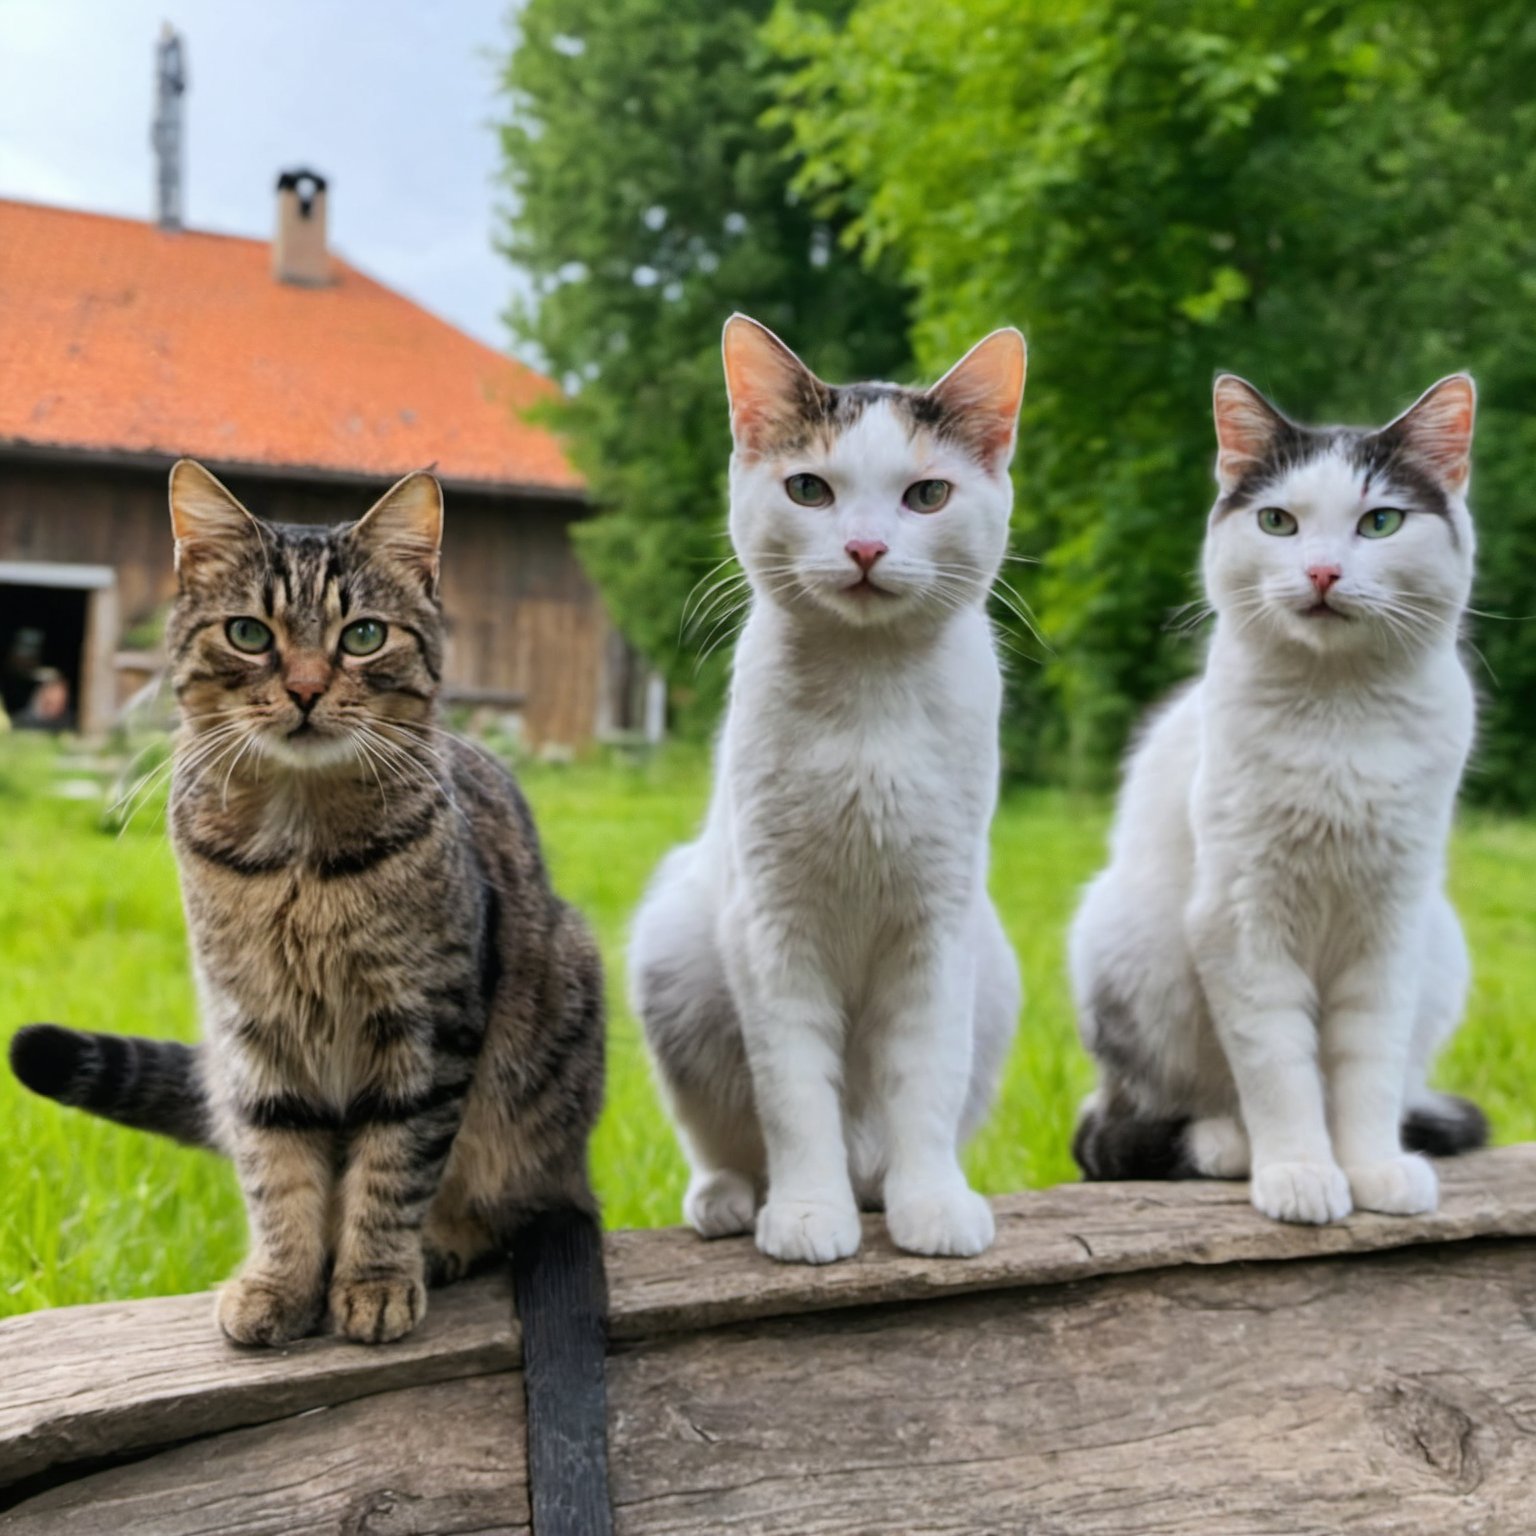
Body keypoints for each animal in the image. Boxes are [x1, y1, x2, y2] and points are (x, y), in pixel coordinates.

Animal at [10, 457, 605, 1345]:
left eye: (362, 636)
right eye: (249, 634)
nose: (304, 689)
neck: (298, 856)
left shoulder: (424, 1028)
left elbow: (392, 1169)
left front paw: (375, 1280)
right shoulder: (254, 1033)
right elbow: (278, 1173)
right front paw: (280, 1284)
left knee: (515, 1197)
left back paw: (444, 1241)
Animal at [629, 317, 1026, 1265]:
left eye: (927, 495)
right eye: (809, 489)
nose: (866, 548)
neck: (867, 697)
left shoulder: (938, 924)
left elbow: (925, 1075)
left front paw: (932, 1204)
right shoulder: (774, 925)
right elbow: (794, 1092)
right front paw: (810, 1213)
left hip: (993, 976)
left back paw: (879, 1185)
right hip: (674, 954)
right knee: (725, 1138)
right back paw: (731, 1199)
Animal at [1069, 371, 1486, 1222]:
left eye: (1380, 522)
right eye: (1278, 521)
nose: (1322, 572)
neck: (1339, 712)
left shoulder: (1389, 920)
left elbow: (1367, 1064)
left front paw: (1373, 1170)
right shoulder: (1240, 919)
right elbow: (1277, 1066)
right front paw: (1299, 1174)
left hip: (1440, 944)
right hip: (1126, 944)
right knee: (1145, 1112)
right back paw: (1229, 1146)